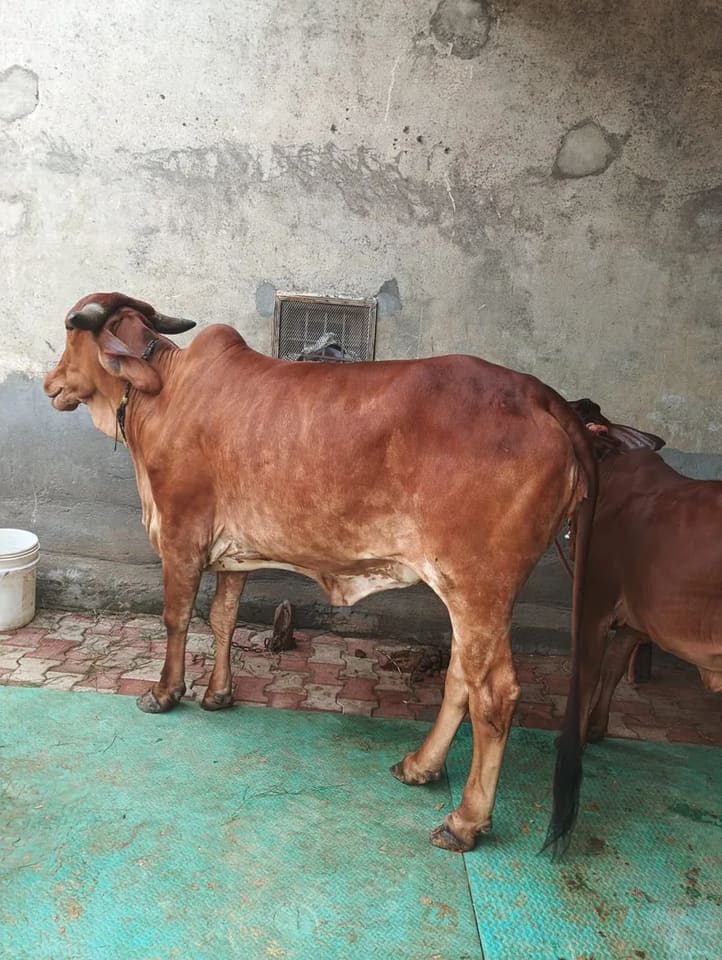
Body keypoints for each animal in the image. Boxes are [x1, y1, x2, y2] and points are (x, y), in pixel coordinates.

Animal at [44, 291, 597, 854]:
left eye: (70, 329)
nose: (50, 383)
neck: (165, 394)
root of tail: (540, 396)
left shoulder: (181, 538)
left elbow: (176, 620)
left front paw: (164, 693)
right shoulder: (233, 554)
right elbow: (224, 619)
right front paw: (219, 694)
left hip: (479, 588)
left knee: (494, 695)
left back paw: (463, 820)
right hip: (470, 597)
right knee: (461, 677)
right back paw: (420, 767)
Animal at [565, 398, 722, 744]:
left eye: (576, 410)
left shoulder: (596, 601)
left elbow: (588, 672)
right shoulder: (638, 619)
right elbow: (613, 665)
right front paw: (596, 727)